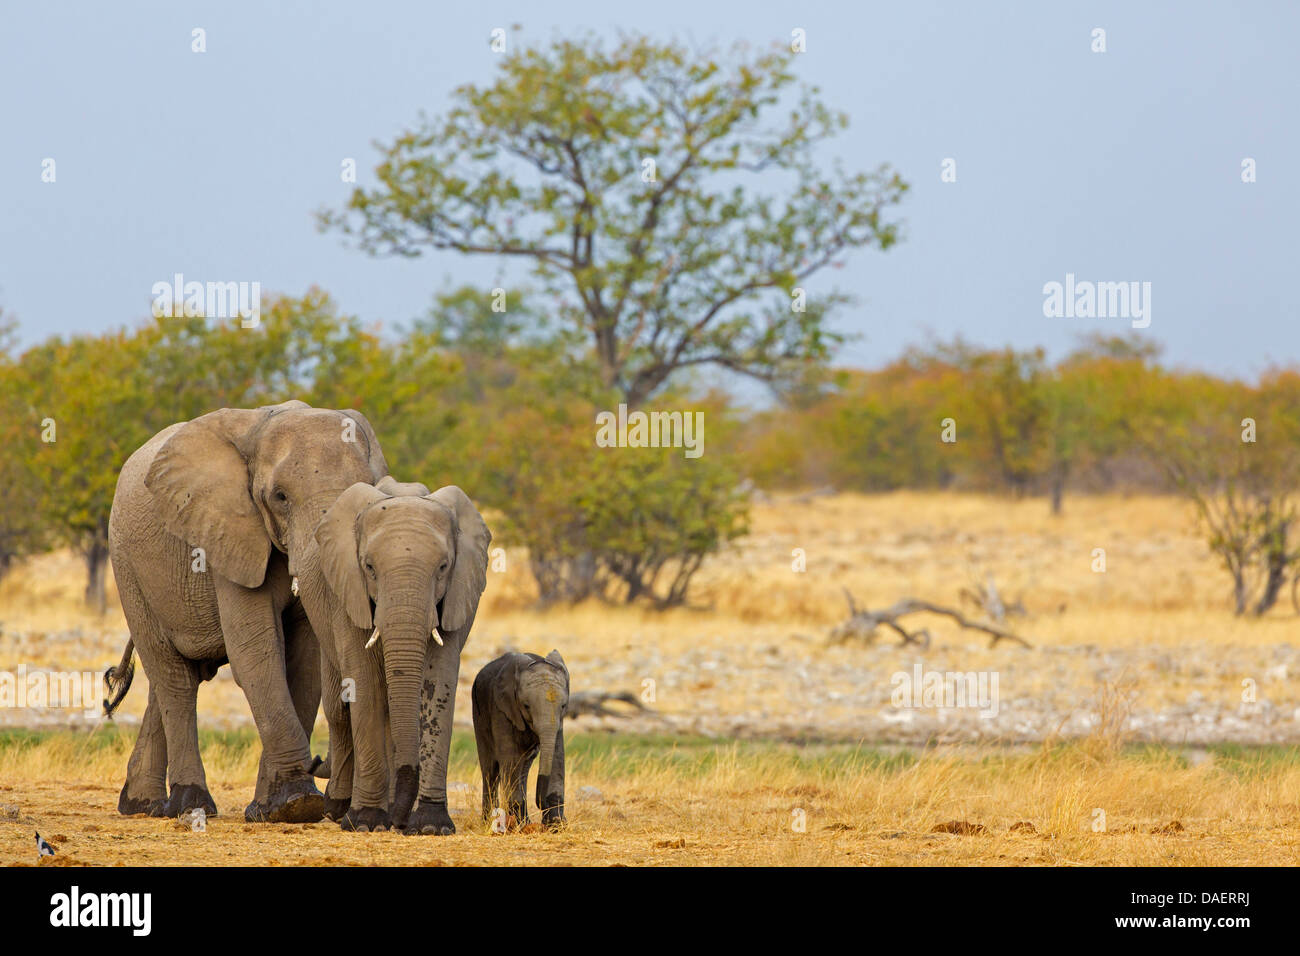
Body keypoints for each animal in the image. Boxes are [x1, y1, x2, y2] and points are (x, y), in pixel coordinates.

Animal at [104, 403, 387, 822]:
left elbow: (303, 662)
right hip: (128, 568)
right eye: (280, 496)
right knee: (173, 676)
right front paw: (296, 803)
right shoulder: (226, 531)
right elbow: (256, 651)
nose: (320, 759)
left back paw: (143, 806)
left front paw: (271, 809)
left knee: (169, 679)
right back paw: (190, 804)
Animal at [304, 481, 491, 832]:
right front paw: (365, 822)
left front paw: (431, 825)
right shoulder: (348, 595)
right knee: (339, 709)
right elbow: (364, 685)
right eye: (369, 568)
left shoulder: (457, 596)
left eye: (443, 567)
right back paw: (342, 809)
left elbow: (438, 684)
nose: (400, 823)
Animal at [470, 650, 566, 832]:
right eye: (526, 706)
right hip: (479, 714)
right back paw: (490, 822)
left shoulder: (559, 722)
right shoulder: (501, 708)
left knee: (524, 767)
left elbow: (557, 755)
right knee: (490, 769)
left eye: (563, 706)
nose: (540, 802)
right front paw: (517, 826)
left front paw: (557, 825)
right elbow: (509, 756)